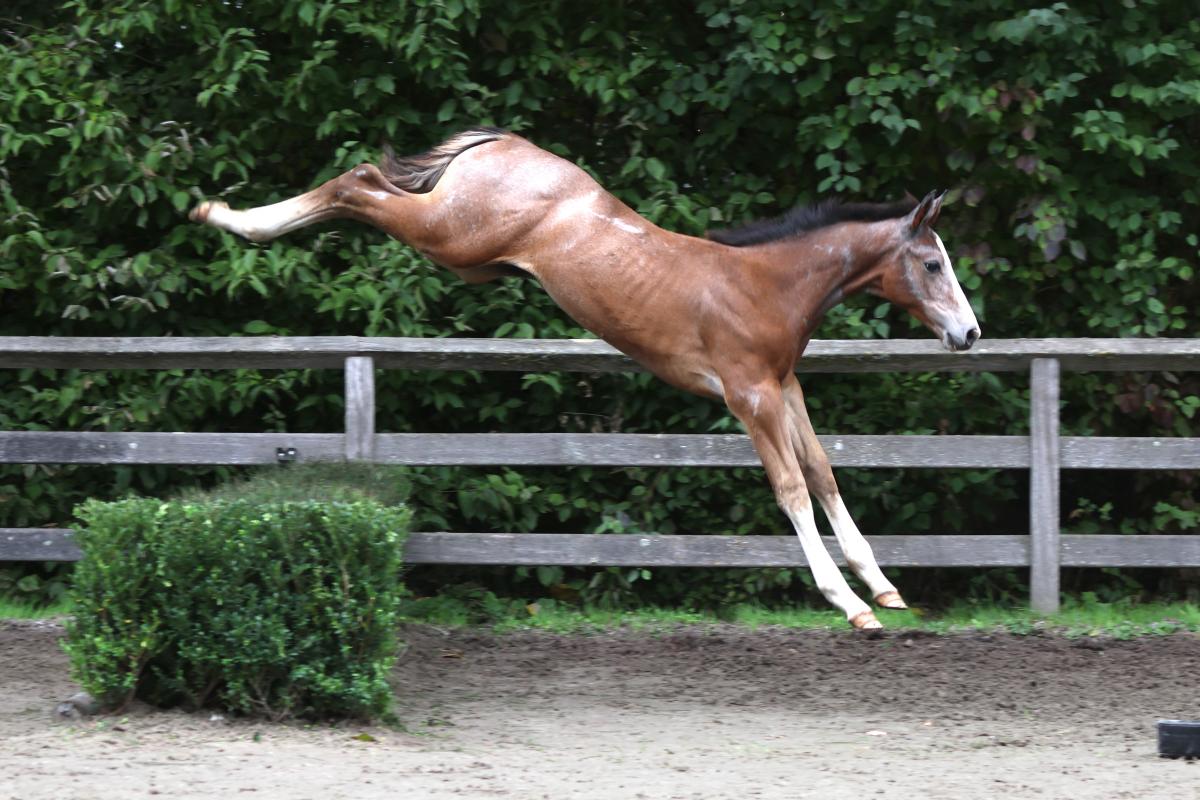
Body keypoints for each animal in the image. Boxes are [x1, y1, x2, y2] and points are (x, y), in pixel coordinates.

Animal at [190, 128, 980, 630]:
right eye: (933, 263)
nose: (969, 333)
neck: (763, 283)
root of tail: (501, 143)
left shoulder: (785, 387)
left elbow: (822, 474)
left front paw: (884, 588)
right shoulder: (748, 394)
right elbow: (789, 488)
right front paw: (847, 604)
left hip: (465, 256)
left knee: (365, 185)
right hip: (453, 238)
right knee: (360, 183)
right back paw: (228, 216)